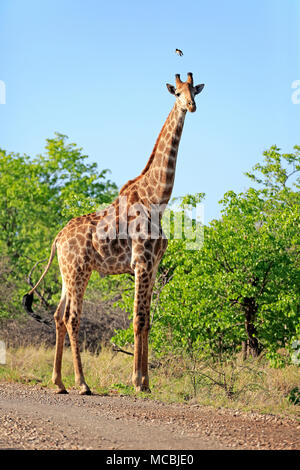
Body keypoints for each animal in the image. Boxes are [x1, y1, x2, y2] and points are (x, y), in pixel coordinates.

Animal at [23, 73, 205, 394]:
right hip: (80, 270)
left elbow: (148, 321)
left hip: (66, 273)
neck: (157, 198)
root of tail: (57, 238)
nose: (191, 106)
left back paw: (59, 382)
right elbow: (138, 319)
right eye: (177, 93)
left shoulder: (153, 266)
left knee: (57, 315)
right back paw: (82, 383)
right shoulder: (141, 263)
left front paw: (147, 382)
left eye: (194, 91)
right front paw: (137, 381)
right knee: (72, 317)